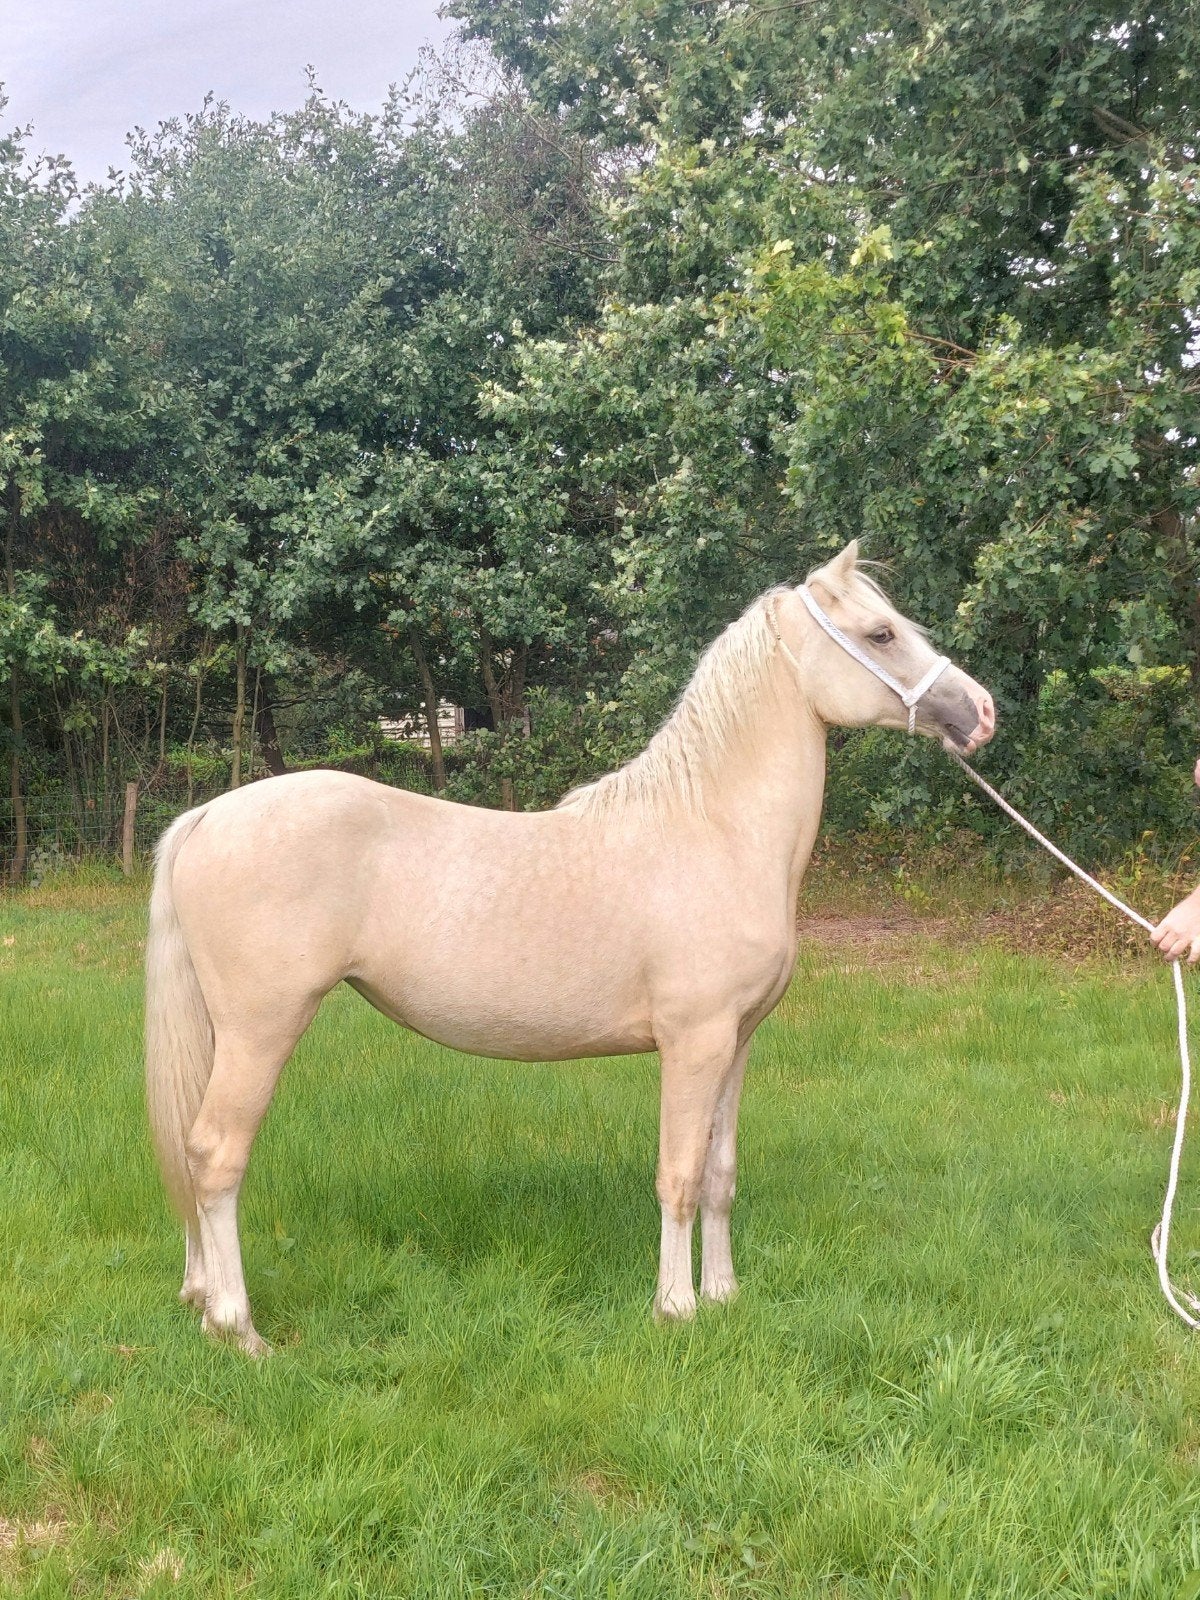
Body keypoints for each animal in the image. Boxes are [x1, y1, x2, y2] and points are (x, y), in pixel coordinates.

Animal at [145, 540, 995, 1353]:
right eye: (880, 634)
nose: (981, 712)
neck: (713, 830)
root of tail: (207, 815)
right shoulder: (694, 1043)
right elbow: (678, 1175)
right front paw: (676, 1310)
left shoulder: (738, 1041)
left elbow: (720, 1173)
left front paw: (724, 1296)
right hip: (261, 1030)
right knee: (217, 1154)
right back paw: (238, 1328)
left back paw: (200, 1300)